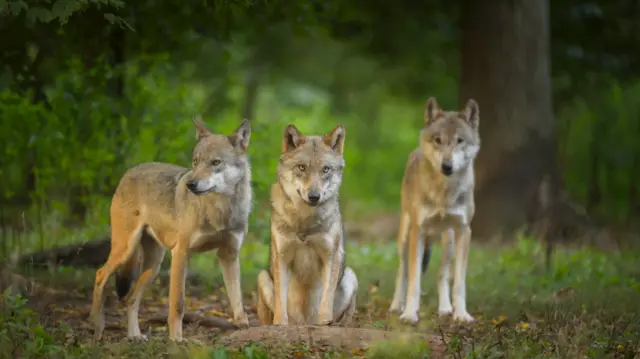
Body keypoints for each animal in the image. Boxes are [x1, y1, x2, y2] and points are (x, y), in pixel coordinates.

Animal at [89, 119, 252, 344]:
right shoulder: (181, 253)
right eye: (195, 162)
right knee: (100, 275)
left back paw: (134, 335)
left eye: (215, 162)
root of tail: (130, 171)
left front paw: (243, 327)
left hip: (154, 267)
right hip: (126, 250)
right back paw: (98, 328)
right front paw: (177, 340)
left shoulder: (229, 255)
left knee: (131, 298)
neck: (220, 210)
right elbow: (177, 305)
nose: (191, 184)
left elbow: (237, 299)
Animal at [258, 125, 362, 328]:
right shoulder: (281, 256)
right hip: (263, 276)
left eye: (326, 169)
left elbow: (326, 298)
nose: (314, 196)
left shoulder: (330, 255)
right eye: (302, 167)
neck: (304, 221)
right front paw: (280, 324)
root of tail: (304, 323)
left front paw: (325, 323)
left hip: (350, 276)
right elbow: (281, 300)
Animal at [384, 98, 480, 326]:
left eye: (460, 141)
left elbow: (459, 283)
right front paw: (409, 314)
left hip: (449, 241)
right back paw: (396, 306)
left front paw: (461, 314)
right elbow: (414, 281)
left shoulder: (464, 231)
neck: (444, 193)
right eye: (438, 140)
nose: (447, 166)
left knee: (442, 275)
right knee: (402, 272)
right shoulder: (418, 231)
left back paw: (445, 308)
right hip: (405, 237)